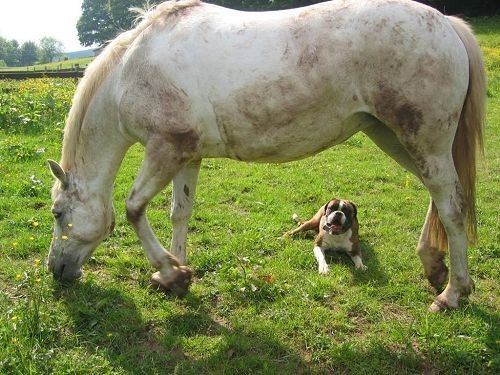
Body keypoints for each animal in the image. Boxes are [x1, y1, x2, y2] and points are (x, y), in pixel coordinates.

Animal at [47, 0, 484, 312]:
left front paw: (170, 272)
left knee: (452, 206)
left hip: (423, 141)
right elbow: (179, 214)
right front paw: (175, 276)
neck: (134, 70)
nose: (56, 270)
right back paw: (434, 266)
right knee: (439, 198)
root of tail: (447, 23)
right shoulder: (187, 156)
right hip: (395, 138)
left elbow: (134, 208)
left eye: (57, 213)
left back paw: (451, 293)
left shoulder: (165, 149)